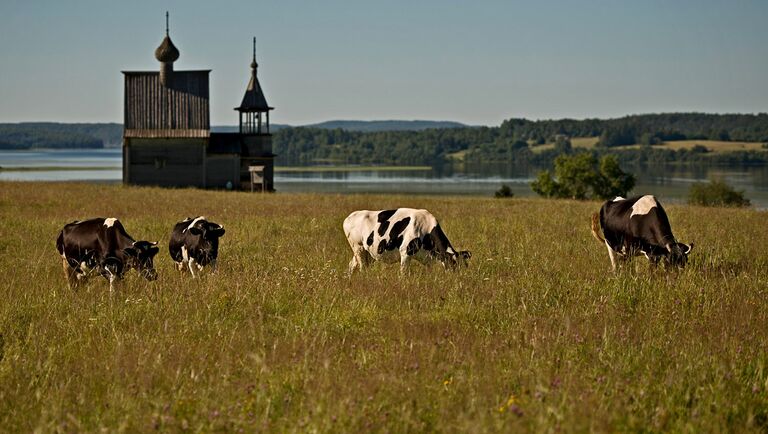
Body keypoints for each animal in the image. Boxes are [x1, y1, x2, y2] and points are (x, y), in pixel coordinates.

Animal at [344, 209, 472, 272]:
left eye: (464, 265)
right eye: (453, 264)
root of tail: (349, 217)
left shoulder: (428, 259)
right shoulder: (405, 252)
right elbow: (404, 274)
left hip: (367, 252)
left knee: (351, 265)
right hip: (358, 247)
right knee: (362, 267)